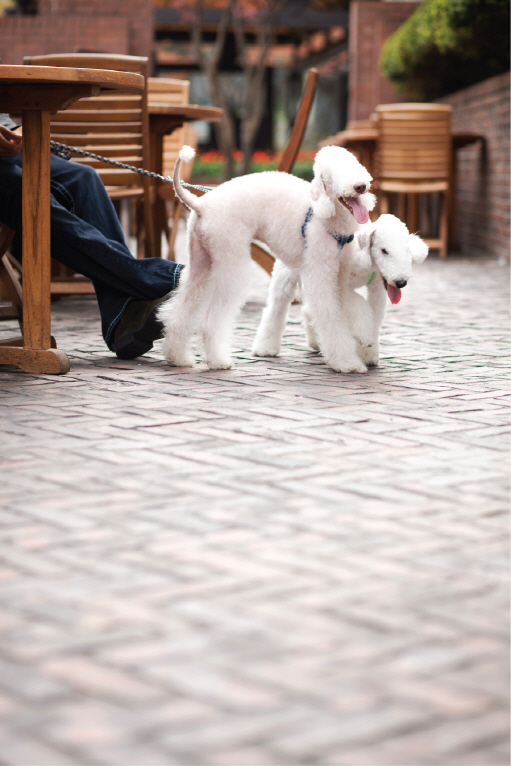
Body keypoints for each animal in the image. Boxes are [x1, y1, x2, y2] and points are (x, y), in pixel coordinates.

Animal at [159, 147, 376, 376]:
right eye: (332, 174)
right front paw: (346, 363)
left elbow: (354, 304)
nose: (360, 186)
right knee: (210, 321)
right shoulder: (320, 275)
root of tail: (202, 203)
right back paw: (218, 361)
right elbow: (331, 317)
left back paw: (178, 358)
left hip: (201, 262)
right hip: (230, 257)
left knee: (179, 313)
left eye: (355, 164)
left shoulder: (340, 277)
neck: (327, 216)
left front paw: (366, 335)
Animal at [254, 214, 430, 374]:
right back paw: (265, 348)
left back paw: (315, 342)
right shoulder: (340, 285)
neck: (365, 260)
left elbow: (375, 314)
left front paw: (368, 353)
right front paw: (364, 337)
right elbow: (359, 305)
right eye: (384, 251)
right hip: (287, 274)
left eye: (407, 251)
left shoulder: (377, 287)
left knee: (310, 309)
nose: (401, 282)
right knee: (276, 307)